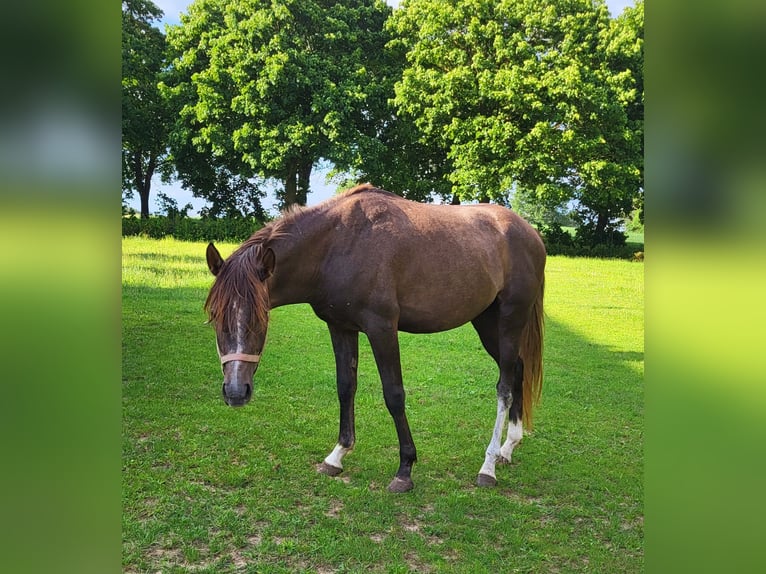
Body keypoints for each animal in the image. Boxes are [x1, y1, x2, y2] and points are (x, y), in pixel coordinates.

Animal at [204, 186, 544, 496]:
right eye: (215, 317)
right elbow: (345, 387)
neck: (338, 244)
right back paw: (508, 447)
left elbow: (394, 395)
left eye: (260, 319)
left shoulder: (382, 329)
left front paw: (405, 470)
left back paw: (488, 466)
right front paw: (336, 456)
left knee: (504, 387)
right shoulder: (340, 327)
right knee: (516, 369)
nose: (236, 392)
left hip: (510, 320)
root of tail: (531, 234)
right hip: (486, 322)